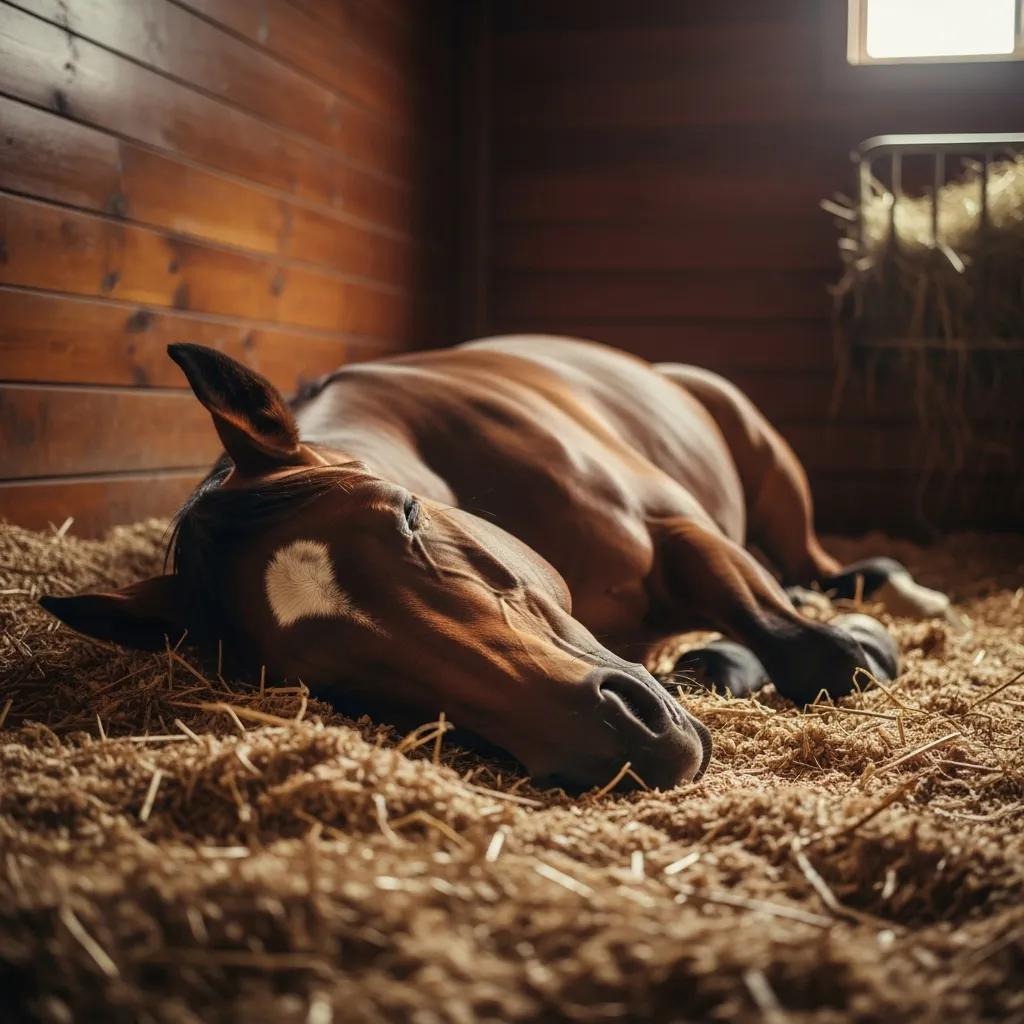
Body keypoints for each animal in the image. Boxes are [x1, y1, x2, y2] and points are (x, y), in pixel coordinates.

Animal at [41, 336, 954, 791]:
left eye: (408, 517)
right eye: (320, 683)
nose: (620, 739)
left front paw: (856, 645)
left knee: (825, 568)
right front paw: (720, 665)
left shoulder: (679, 529)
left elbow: (808, 650)